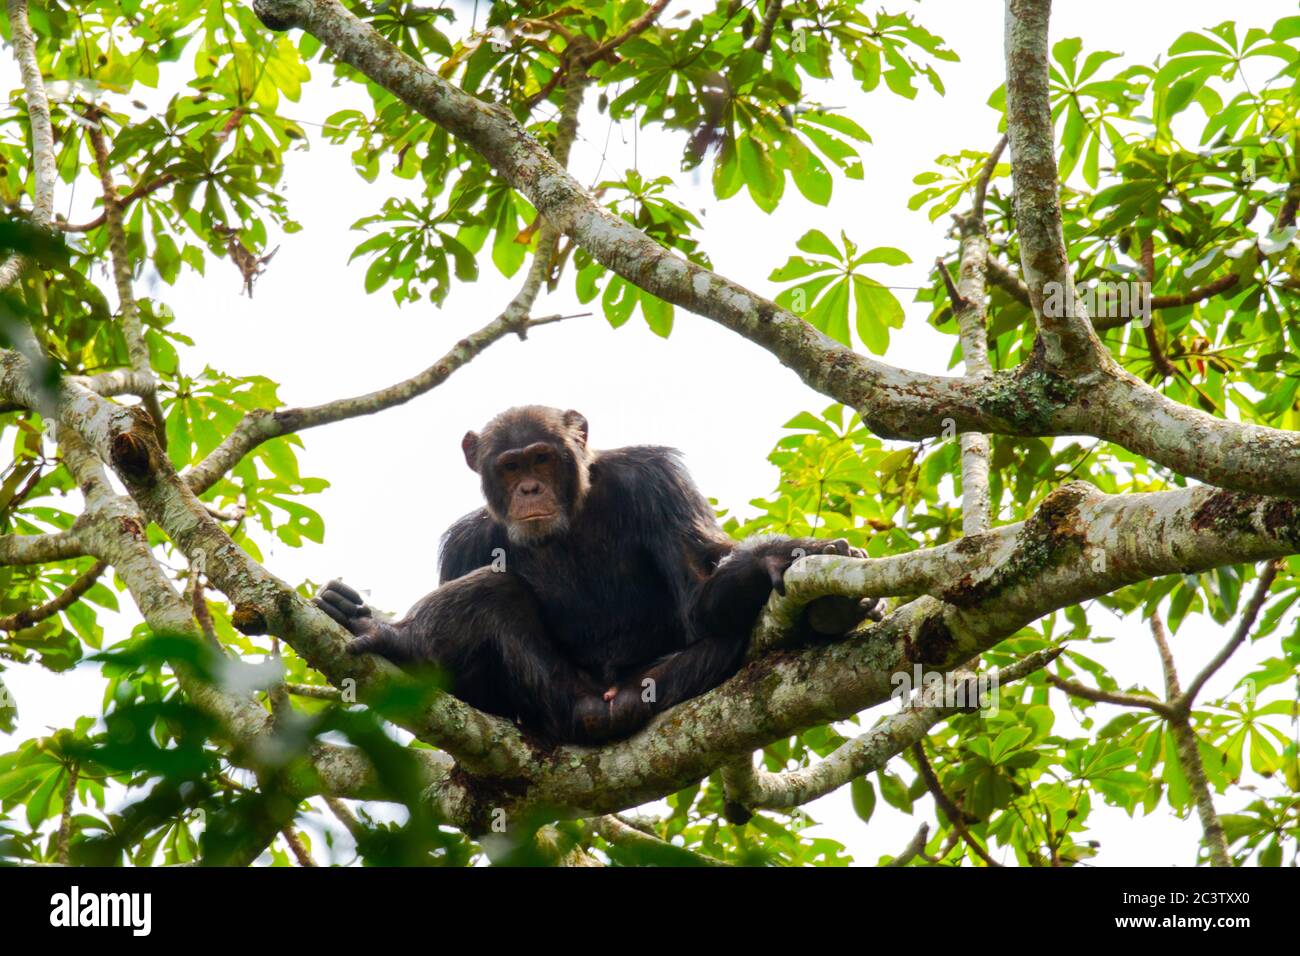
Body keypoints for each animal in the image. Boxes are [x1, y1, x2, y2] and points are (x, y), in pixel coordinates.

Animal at [312, 408, 873, 743]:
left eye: (541, 458)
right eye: (511, 467)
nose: (530, 488)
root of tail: (601, 705)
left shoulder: (656, 481)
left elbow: (698, 591)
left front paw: (777, 556)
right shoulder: (463, 544)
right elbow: (470, 695)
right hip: (556, 699)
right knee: (494, 591)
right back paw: (395, 638)